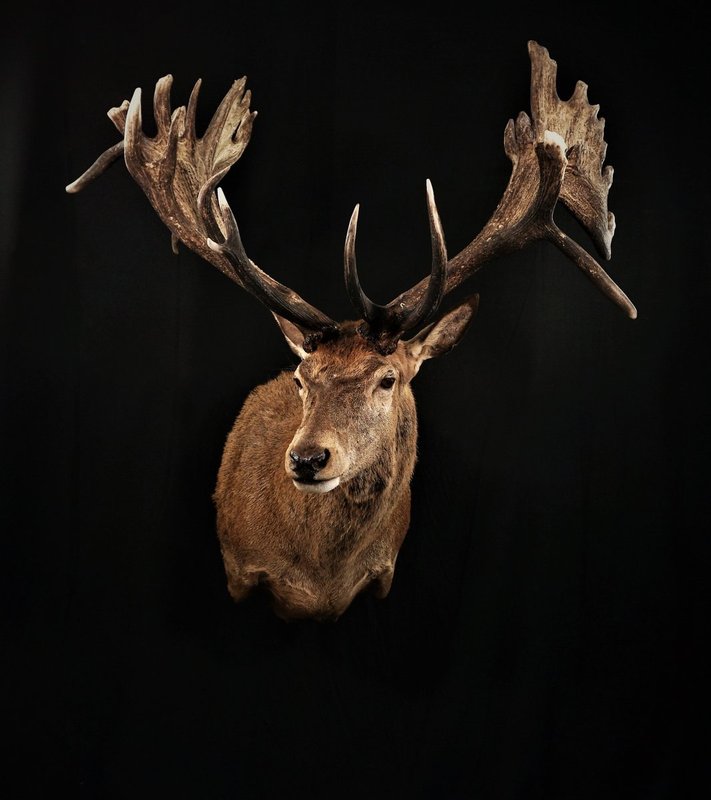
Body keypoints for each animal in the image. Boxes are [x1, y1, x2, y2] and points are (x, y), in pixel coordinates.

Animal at [66, 41, 636, 622]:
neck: (320, 579)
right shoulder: (239, 570)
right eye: (302, 378)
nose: (307, 458)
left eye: (387, 379)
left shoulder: (382, 577)